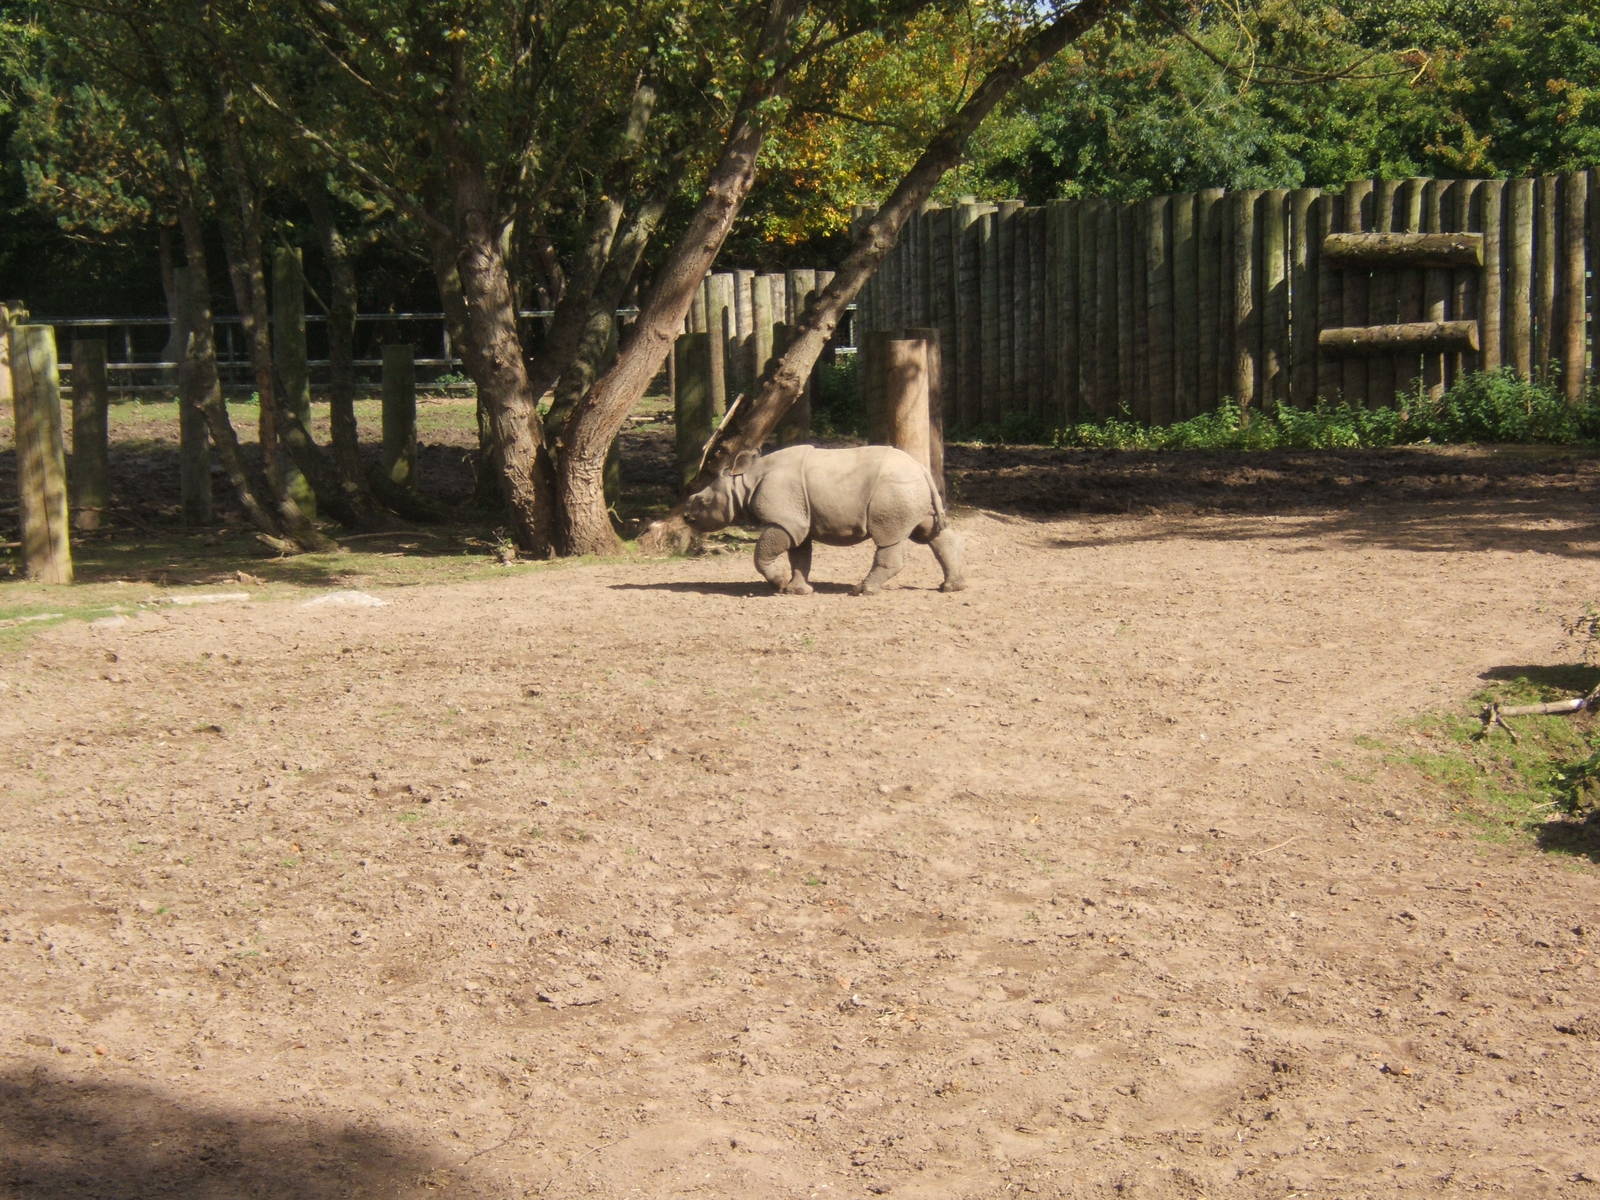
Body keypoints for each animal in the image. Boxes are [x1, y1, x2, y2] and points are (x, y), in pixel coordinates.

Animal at [683, 444, 966, 596]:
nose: (686, 517)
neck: (745, 481)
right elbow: (800, 556)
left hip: (893, 490)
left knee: (888, 537)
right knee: (930, 533)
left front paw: (779, 583)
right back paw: (951, 587)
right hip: (911, 489)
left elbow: (762, 553)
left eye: (702, 502)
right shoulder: (797, 520)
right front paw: (797, 590)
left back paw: (861, 591)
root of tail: (921, 468)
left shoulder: (784, 520)